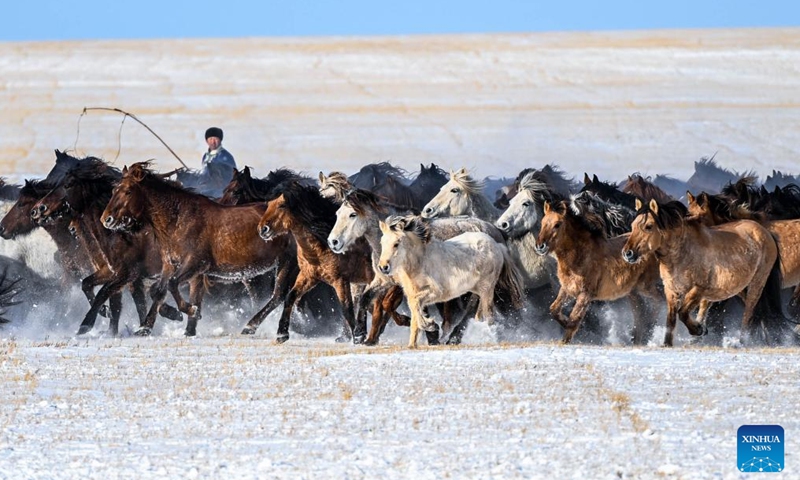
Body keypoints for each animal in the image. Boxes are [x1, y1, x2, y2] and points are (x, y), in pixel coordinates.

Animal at [101, 160, 296, 334]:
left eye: (128, 191)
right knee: (277, 296)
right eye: (114, 190)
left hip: (287, 263)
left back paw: (252, 327)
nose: (106, 219)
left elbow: (172, 286)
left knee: (279, 295)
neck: (179, 220)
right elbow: (159, 291)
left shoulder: (196, 264)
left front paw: (191, 311)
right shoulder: (171, 265)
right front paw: (155, 325)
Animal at [256, 182, 376, 344]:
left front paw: (357, 337)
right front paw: (281, 334)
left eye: (282, 205)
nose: (263, 229)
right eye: (269, 204)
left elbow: (346, 308)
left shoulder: (340, 280)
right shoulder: (309, 276)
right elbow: (290, 297)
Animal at [378, 216, 520, 346]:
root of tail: (497, 245)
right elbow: (414, 314)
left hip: (487, 290)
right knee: (479, 315)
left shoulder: (437, 293)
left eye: (396, 243)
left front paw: (431, 325)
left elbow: (415, 303)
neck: (421, 261)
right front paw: (413, 345)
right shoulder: (414, 293)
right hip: (479, 291)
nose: (383, 267)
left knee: (489, 316)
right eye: (382, 243)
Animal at [536, 201, 660, 344]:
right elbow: (554, 309)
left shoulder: (585, 295)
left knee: (659, 300)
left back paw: (651, 327)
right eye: (542, 223)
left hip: (645, 287)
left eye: (557, 224)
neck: (581, 257)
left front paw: (565, 338)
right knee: (640, 313)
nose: (540, 246)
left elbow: (574, 319)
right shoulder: (567, 289)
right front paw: (565, 323)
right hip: (633, 292)